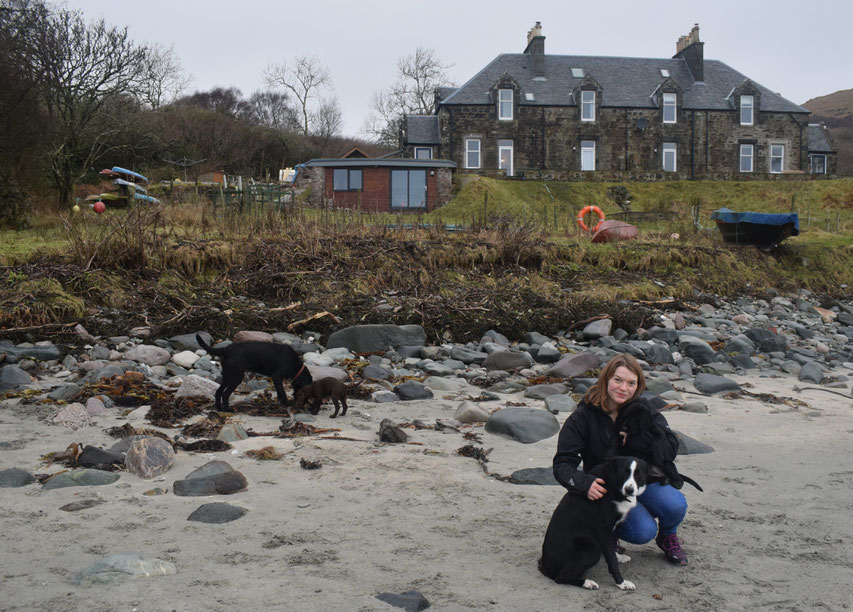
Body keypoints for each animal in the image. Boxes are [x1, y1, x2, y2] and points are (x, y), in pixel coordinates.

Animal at [540, 456, 644, 592]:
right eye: (623, 473)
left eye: (638, 475)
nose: (630, 490)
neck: (611, 483)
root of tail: (544, 565)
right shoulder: (603, 530)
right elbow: (612, 560)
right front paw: (621, 583)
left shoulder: (609, 530)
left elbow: (612, 551)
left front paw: (619, 557)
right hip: (591, 549)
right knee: (560, 578)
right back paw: (587, 583)